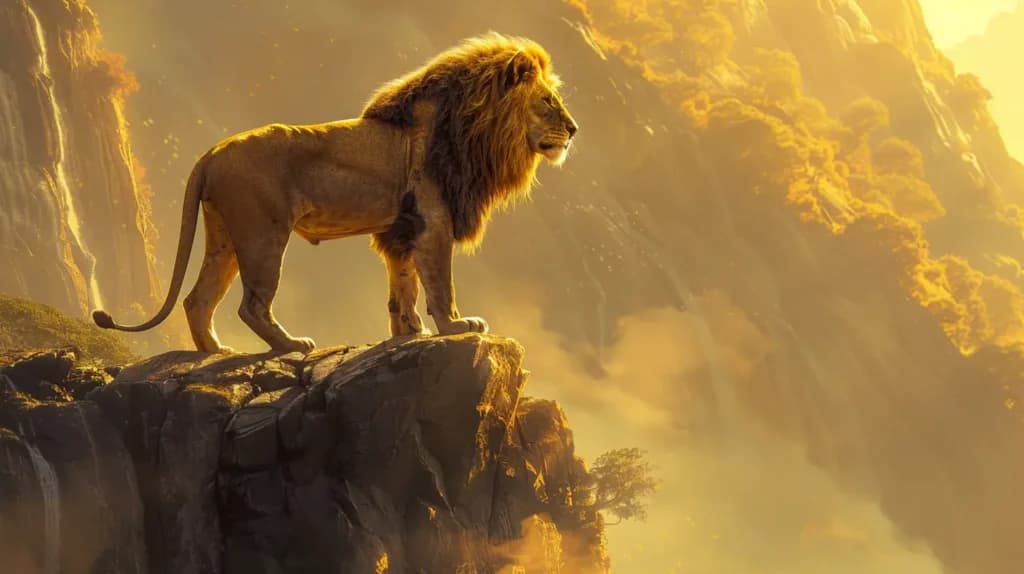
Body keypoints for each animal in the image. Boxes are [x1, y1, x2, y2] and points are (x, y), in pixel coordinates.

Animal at [91, 33, 579, 353]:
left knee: (197, 300)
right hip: (263, 232)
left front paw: (410, 332)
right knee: (251, 304)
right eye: (548, 102)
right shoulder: (433, 221)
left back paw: (215, 352)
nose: (574, 130)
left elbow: (403, 287)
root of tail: (210, 152)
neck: (477, 131)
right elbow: (440, 283)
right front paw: (456, 326)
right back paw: (292, 345)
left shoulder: (402, 230)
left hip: (224, 236)